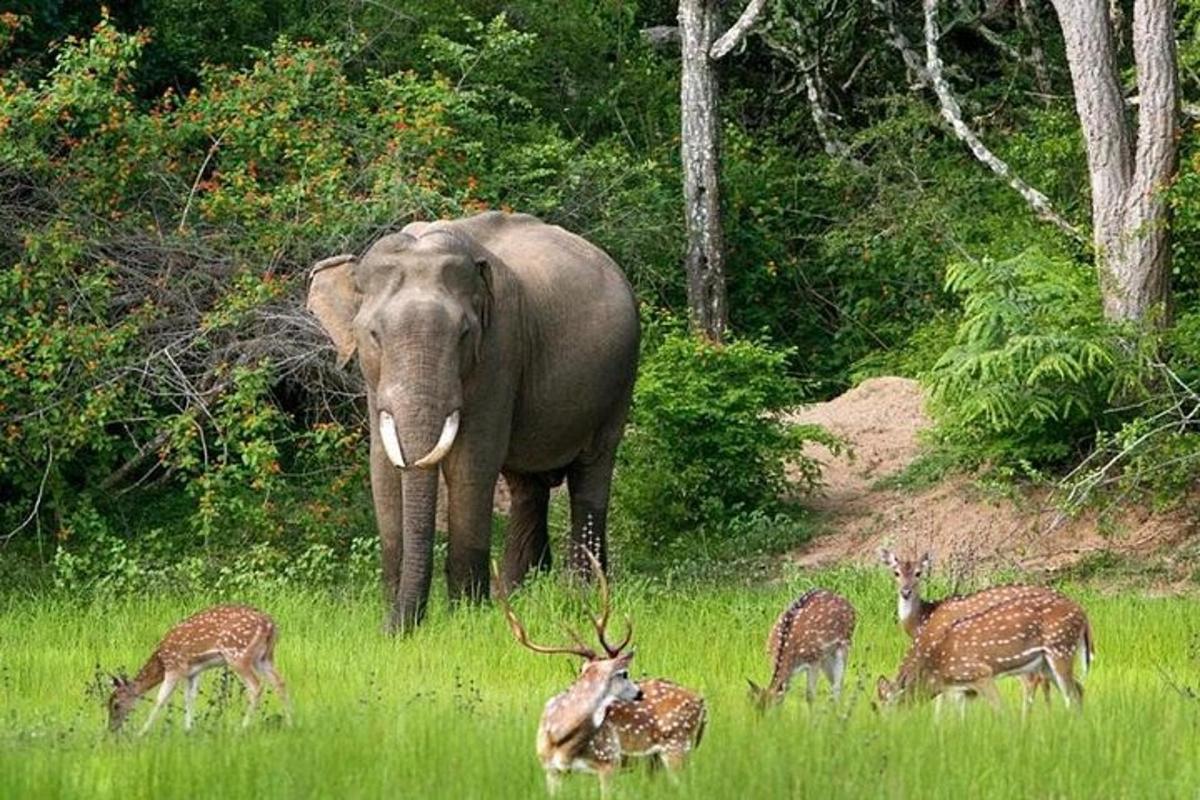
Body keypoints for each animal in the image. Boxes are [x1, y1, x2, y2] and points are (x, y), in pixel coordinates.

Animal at [107, 604, 290, 734]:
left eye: (116, 704)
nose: (111, 728)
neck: (161, 661)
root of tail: (270, 625)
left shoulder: (174, 667)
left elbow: (161, 699)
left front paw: (142, 732)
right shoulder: (193, 672)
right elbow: (190, 697)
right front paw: (188, 729)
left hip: (237, 654)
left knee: (256, 686)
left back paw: (243, 727)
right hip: (264, 657)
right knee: (280, 682)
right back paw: (290, 722)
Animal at [309, 211, 643, 633]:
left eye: (464, 335)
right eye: (373, 335)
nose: (395, 629)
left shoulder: (500, 350)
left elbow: (471, 463)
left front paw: (466, 615)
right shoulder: (373, 379)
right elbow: (382, 467)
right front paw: (394, 613)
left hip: (620, 379)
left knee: (592, 473)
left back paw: (579, 596)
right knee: (527, 486)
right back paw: (518, 595)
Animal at [494, 554, 705, 796]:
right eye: (624, 673)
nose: (639, 693)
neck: (560, 741)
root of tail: (702, 702)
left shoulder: (609, 759)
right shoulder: (550, 769)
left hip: (677, 745)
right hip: (655, 760)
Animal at [878, 587, 1094, 714]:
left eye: (886, 707)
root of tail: (1083, 613)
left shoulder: (980, 673)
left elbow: (1001, 711)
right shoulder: (962, 689)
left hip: (1061, 648)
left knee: (1071, 695)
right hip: (1046, 664)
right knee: (1079, 689)